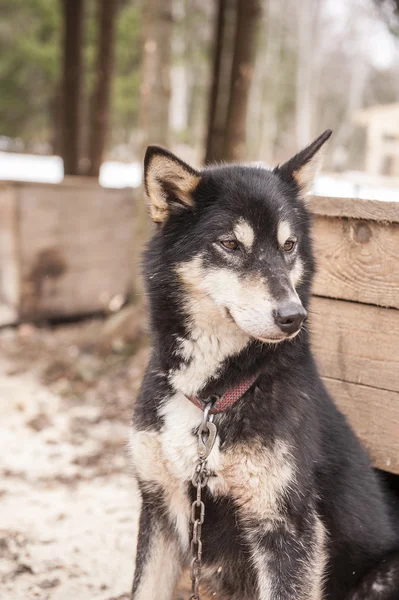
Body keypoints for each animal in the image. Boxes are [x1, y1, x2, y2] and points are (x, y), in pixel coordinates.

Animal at [131, 132, 399, 600]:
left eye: (288, 246)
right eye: (231, 244)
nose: (293, 316)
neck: (211, 395)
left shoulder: (287, 530)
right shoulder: (159, 509)